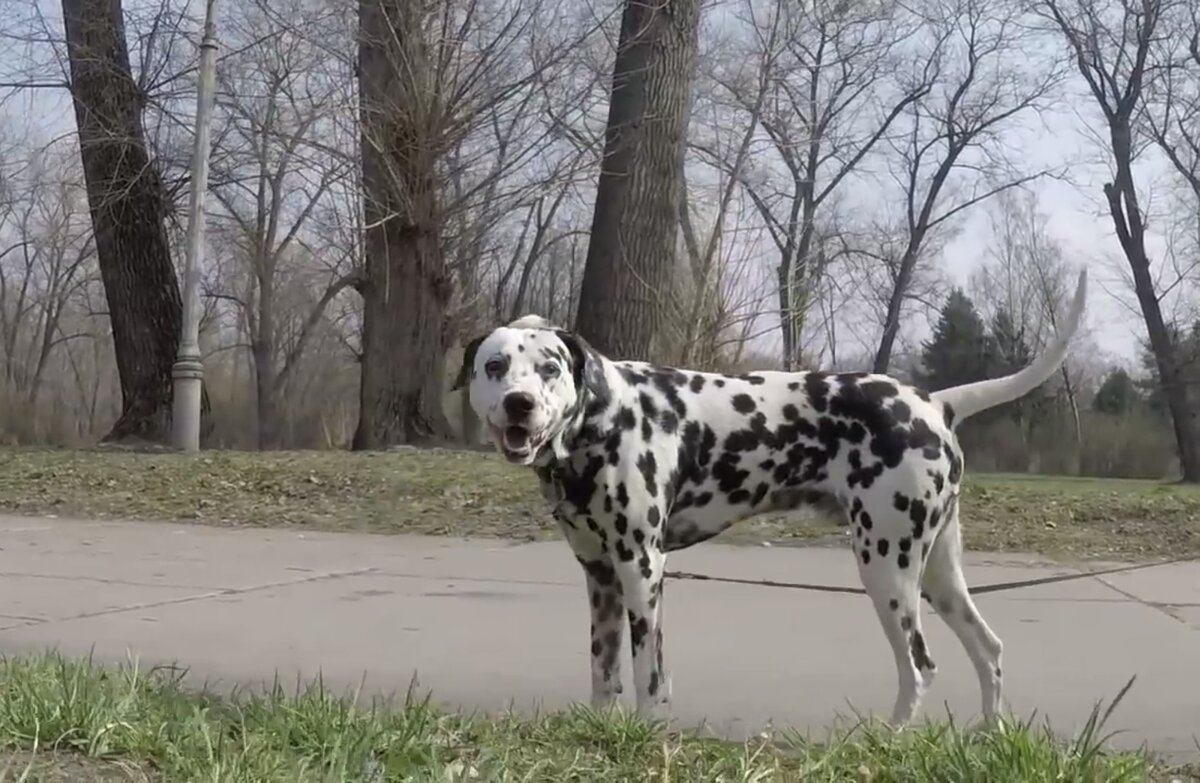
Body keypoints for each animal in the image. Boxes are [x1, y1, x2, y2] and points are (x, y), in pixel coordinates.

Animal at [451, 273, 1089, 730]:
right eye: (496, 365)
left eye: (550, 369)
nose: (518, 404)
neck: (602, 418)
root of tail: (933, 402)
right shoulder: (600, 576)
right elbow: (604, 674)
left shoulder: (642, 570)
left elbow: (649, 675)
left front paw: (646, 733)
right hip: (938, 574)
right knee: (988, 649)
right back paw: (987, 737)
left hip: (887, 570)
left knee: (920, 668)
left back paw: (887, 739)